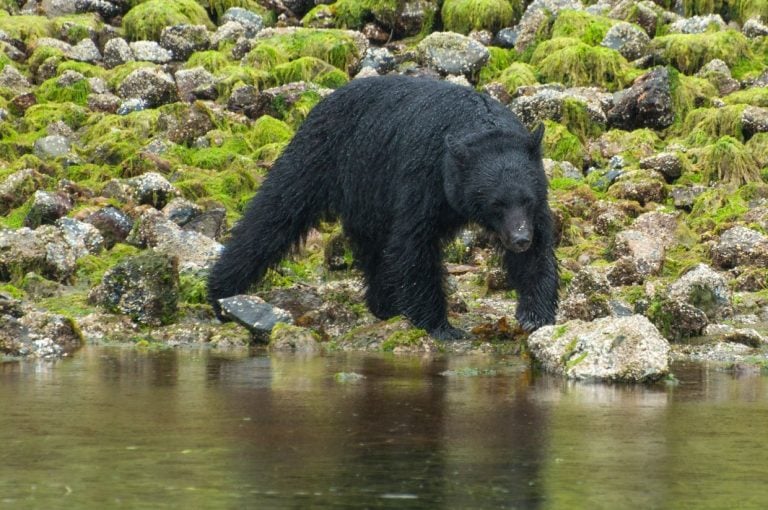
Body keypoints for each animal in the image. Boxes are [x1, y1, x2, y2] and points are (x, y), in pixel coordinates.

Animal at [210, 74, 560, 338]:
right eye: (496, 204)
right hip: (319, 157)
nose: (520, 239)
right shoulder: (422, 178)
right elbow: (414, 245)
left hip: (367, 194)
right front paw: (442, 327)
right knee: (273, 214)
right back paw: (220, 293)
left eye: (526, 200)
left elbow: (538, 253)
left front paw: (535, 314)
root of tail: (323, 100)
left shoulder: (536, 193)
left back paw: (384, 305)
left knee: (375, 248)